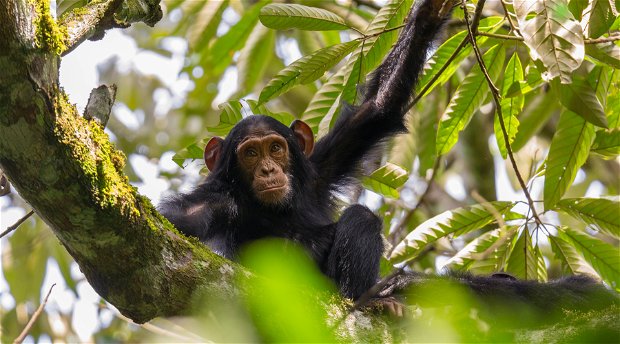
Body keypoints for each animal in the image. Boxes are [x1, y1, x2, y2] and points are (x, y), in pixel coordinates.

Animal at [157, 0, 452, 300]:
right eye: (251, 154)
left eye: (275, 148)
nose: (268, 169)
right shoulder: (215, 201)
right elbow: (178, 223)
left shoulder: (320, 170)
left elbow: (380, 108)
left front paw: (428, 16)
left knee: (363, 216)